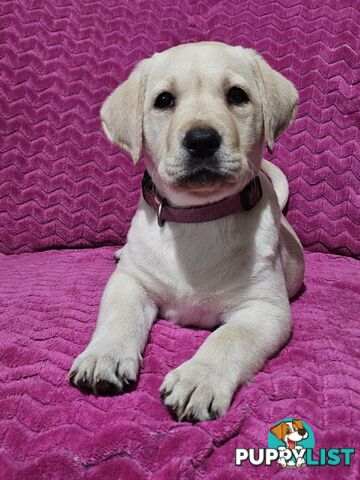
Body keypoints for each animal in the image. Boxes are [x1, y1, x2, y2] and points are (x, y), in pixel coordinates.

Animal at [68, 43, 304, 422]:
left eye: (237, 95)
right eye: (164, 100)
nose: (202, 140)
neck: (197, 217)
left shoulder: (265, 310)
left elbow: (228, 338)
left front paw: (199, 378)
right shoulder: (131, 281)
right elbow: (120, 315)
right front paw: (103, 355)